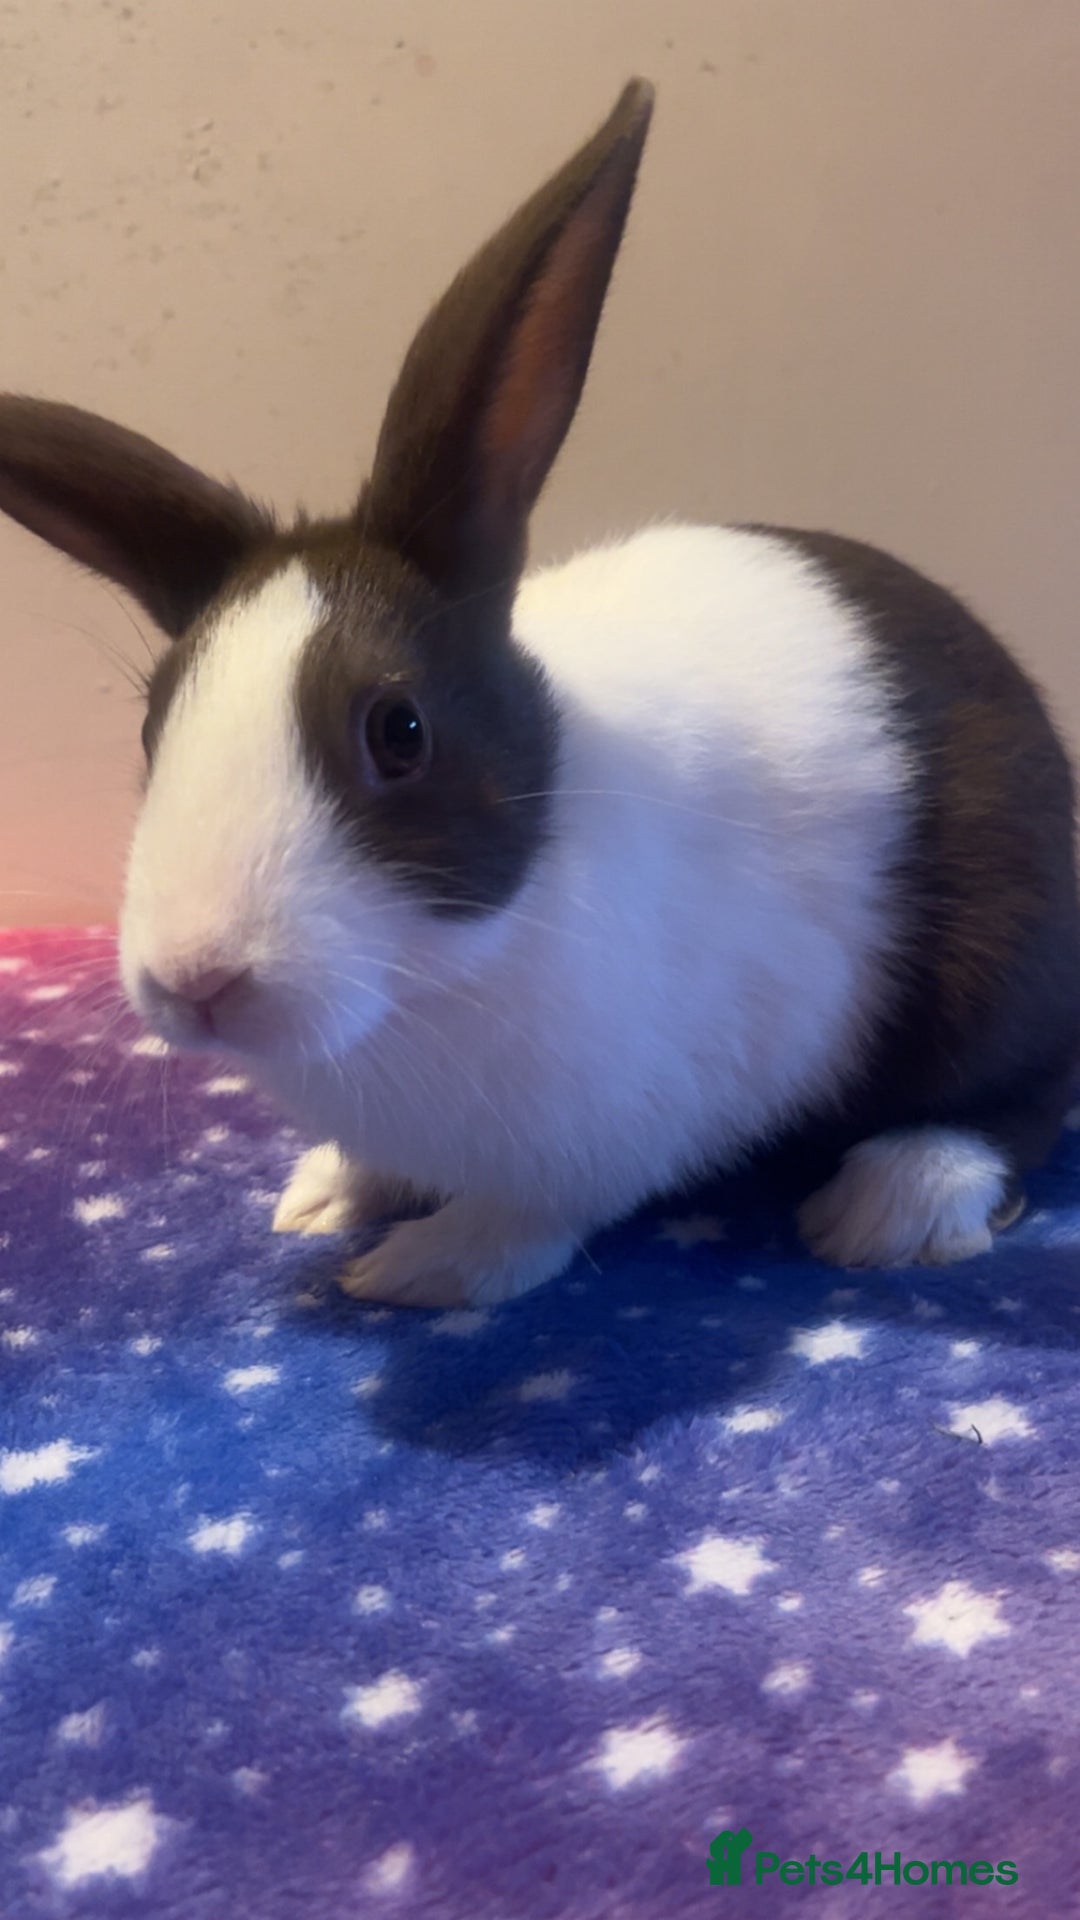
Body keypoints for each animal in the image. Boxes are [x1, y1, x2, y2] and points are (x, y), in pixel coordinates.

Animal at [1, 77, 1077, 1308]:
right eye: (150, 726)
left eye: (400, 731)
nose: (197, 983)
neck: (425, 979)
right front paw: (328, 1193)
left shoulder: (628, 1113)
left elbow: (531, 1217)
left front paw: (418, 1270)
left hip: (1004, 953)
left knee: (1022, 1095)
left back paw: (889, 1205)